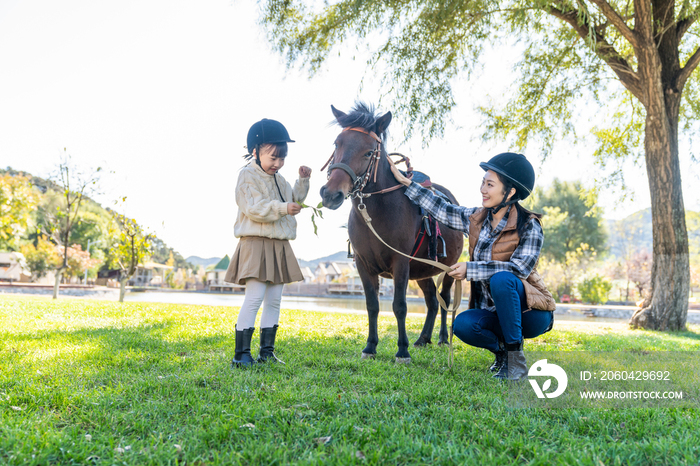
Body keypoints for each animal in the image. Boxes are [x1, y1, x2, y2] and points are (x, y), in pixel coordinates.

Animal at [318, 104, 462, 362]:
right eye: (337, 144)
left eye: (368, 152)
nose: (331, 194)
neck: (377, 212)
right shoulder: (363, 264)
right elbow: (372, 305)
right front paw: (370, 346)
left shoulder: (400, 263)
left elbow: (399, 306)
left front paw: (402, 350)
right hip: (422, 271)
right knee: (432, 302)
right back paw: (423, 339)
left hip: (448, 269)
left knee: (444, 299)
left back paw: (442, 339)